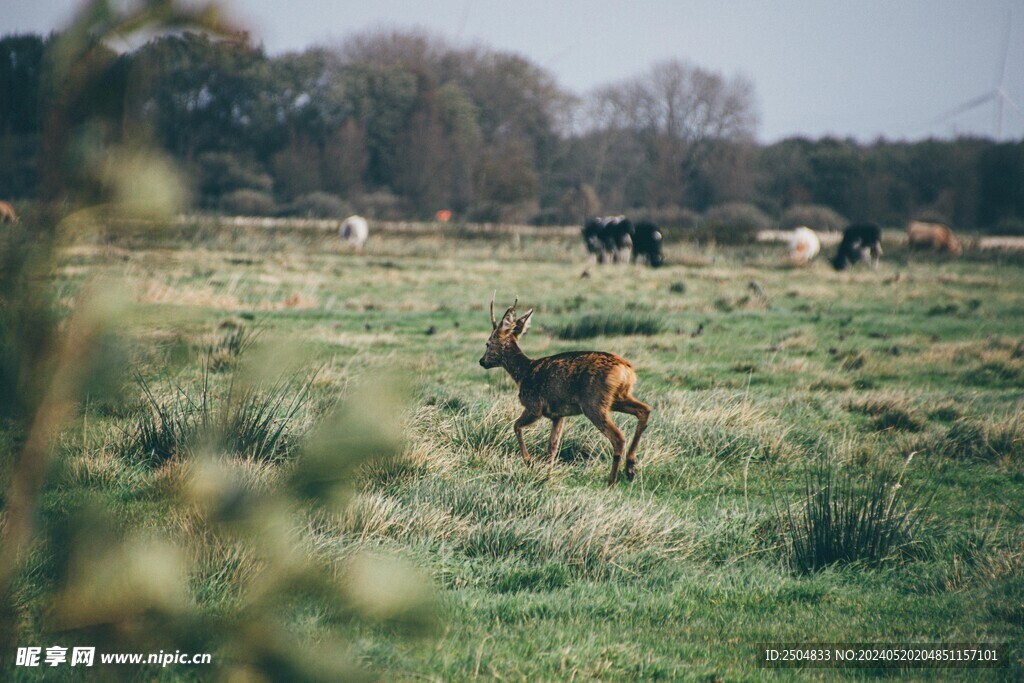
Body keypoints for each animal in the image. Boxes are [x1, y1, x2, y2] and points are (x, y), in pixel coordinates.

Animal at [479, 296, 652, 487]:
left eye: (488, 343)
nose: (482, 361)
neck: (524, 373)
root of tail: (626, 370)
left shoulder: (534, 405)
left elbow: (516, 426)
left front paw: (529, 461)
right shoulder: (558, 415)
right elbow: (552, 447)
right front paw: (546, 474)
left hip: (594, 402)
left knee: (619, 437)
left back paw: (612, 481)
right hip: (618, 398)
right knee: (644, 410)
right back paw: (630, 468)